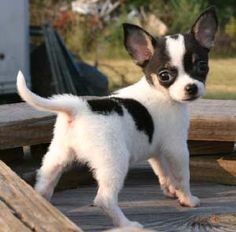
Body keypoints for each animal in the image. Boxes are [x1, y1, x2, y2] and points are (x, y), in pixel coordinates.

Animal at [17, 6, 218, 228]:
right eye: (165, 75)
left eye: (202, 67)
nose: (191, 88)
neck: (159, 91)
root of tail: (80, 107)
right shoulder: (177, 148)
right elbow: (183, 176)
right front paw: (187, 199)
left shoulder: (157, 151)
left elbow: (163, 173)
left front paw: (170, 190)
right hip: (114, 161)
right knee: (104, 199)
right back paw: (127, 224)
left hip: (57, 157)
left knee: (43, 184)